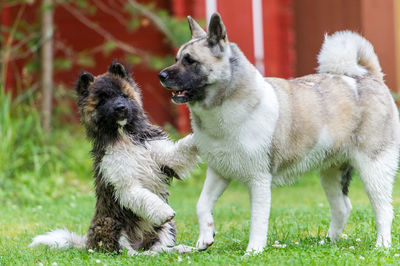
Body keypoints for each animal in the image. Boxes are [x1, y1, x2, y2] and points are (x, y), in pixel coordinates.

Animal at [159, 13, 400, 254]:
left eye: (190, 61)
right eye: (176, 58)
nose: (161, 75)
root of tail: (369, 77)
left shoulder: (259, 180)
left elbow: (257, 219)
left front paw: (253, 251)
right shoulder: (219, 172)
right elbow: (202, 204)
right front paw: (205, 238)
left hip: (374, 168)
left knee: (384, 210)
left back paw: (382, 245)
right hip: (331, 173)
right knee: (342, 207)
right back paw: (328, 242)